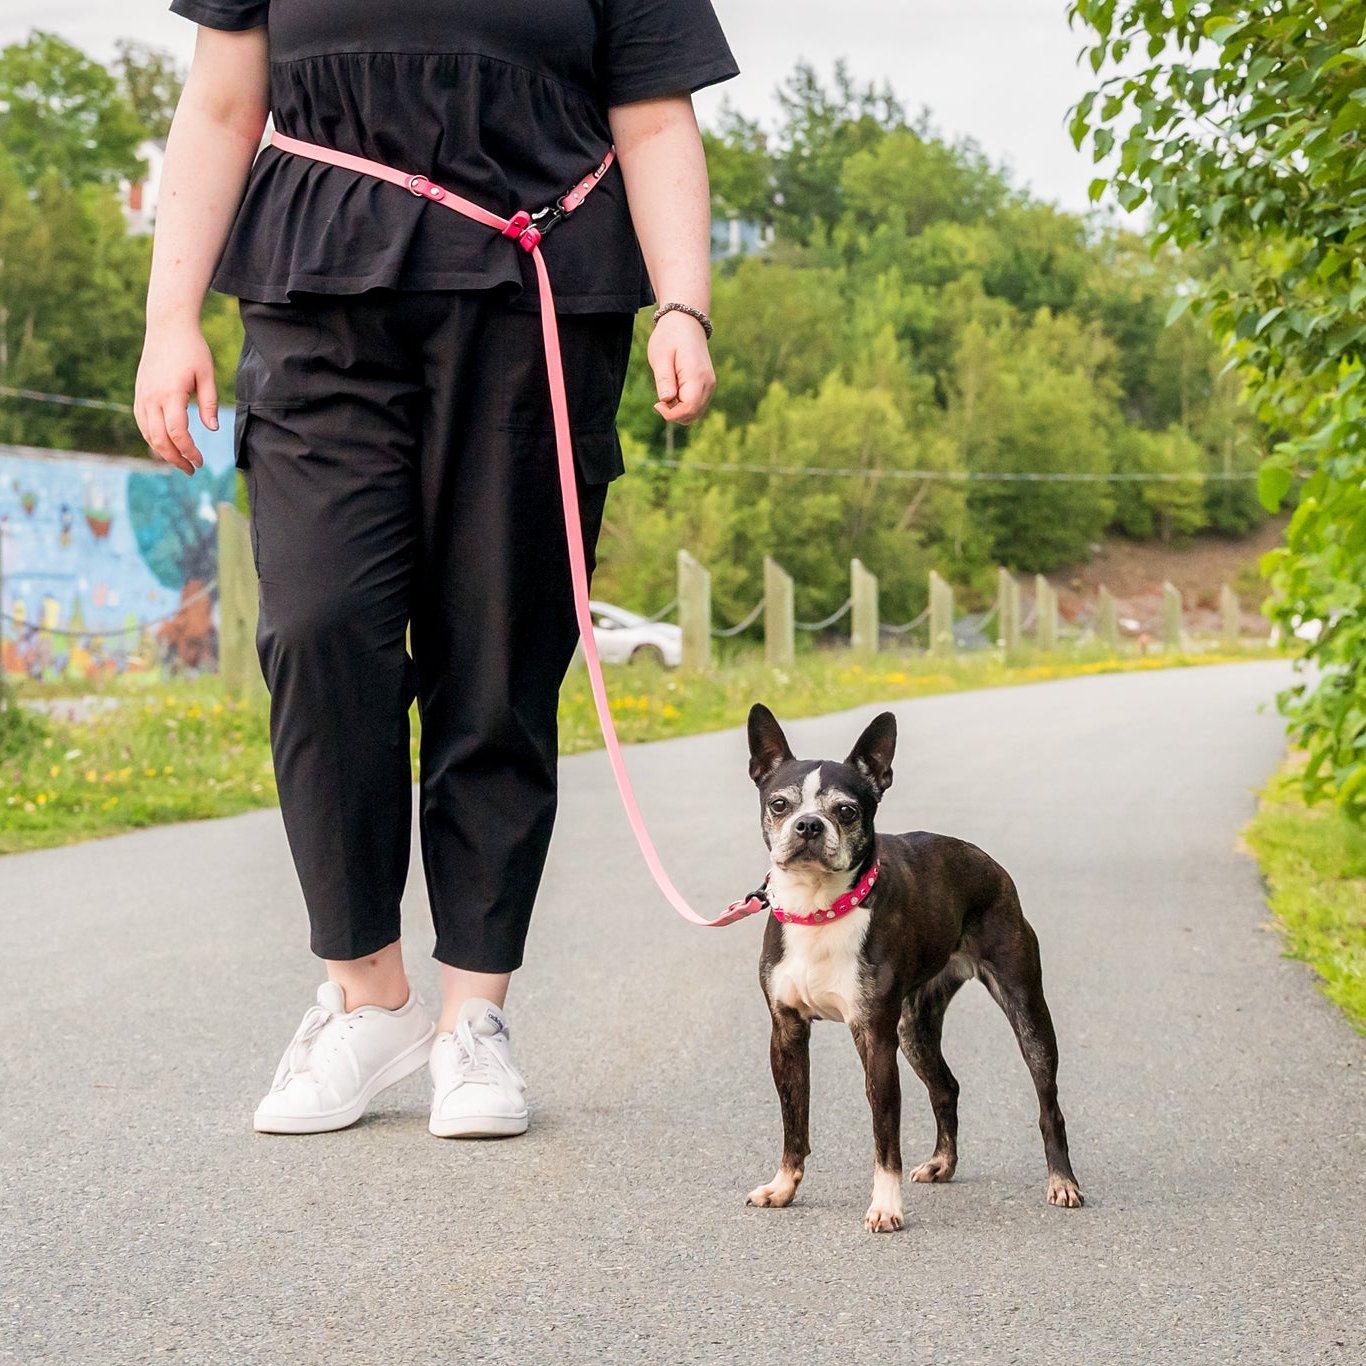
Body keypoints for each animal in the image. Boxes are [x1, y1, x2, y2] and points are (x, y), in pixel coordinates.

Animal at [743, 710, 1081, 1234]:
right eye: (779, 804)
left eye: (846, 811)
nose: (808, 825)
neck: (820, 910)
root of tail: (986, 859)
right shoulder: (787, 1032)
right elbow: (793, 1120)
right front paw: (783, 1186)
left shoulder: (874, 1038)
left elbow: (885, 1133)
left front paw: (885, 1206)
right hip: (914, 1028)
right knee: (946, 1087)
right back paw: (943, 1163)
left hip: (1025, 1008)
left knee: (1048, 1102)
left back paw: (1062, 1181)